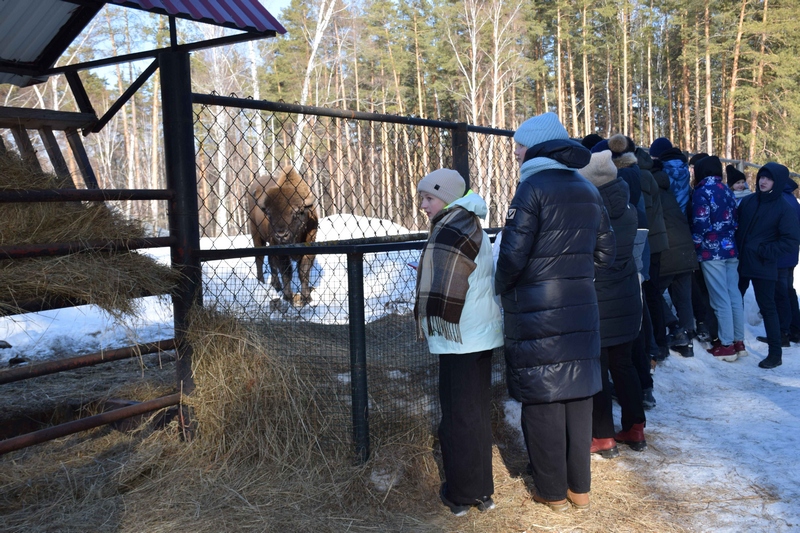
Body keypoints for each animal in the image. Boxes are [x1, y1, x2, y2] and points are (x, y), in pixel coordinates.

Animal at [247, 166, 318, 306]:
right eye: (269, 214)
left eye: (297, 212)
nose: (281, 235)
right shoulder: (280, 250)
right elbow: (286, 272)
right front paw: (288, 296)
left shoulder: (310, 246)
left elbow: (303, 271)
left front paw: (306, 298)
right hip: (256, 235)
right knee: (260, 259)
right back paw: (261, 282)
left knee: (270, 261)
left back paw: (276, 285)